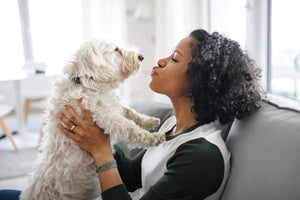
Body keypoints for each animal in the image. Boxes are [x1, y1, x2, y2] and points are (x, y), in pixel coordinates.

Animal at [20, 39, 166, 200]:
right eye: (116, 49)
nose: (141, 57)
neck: (86, 84)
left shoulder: (113, 106)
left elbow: (130, 112)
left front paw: (150, 121)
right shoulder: (107, 117)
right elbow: (131, 128)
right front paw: (154, 137)